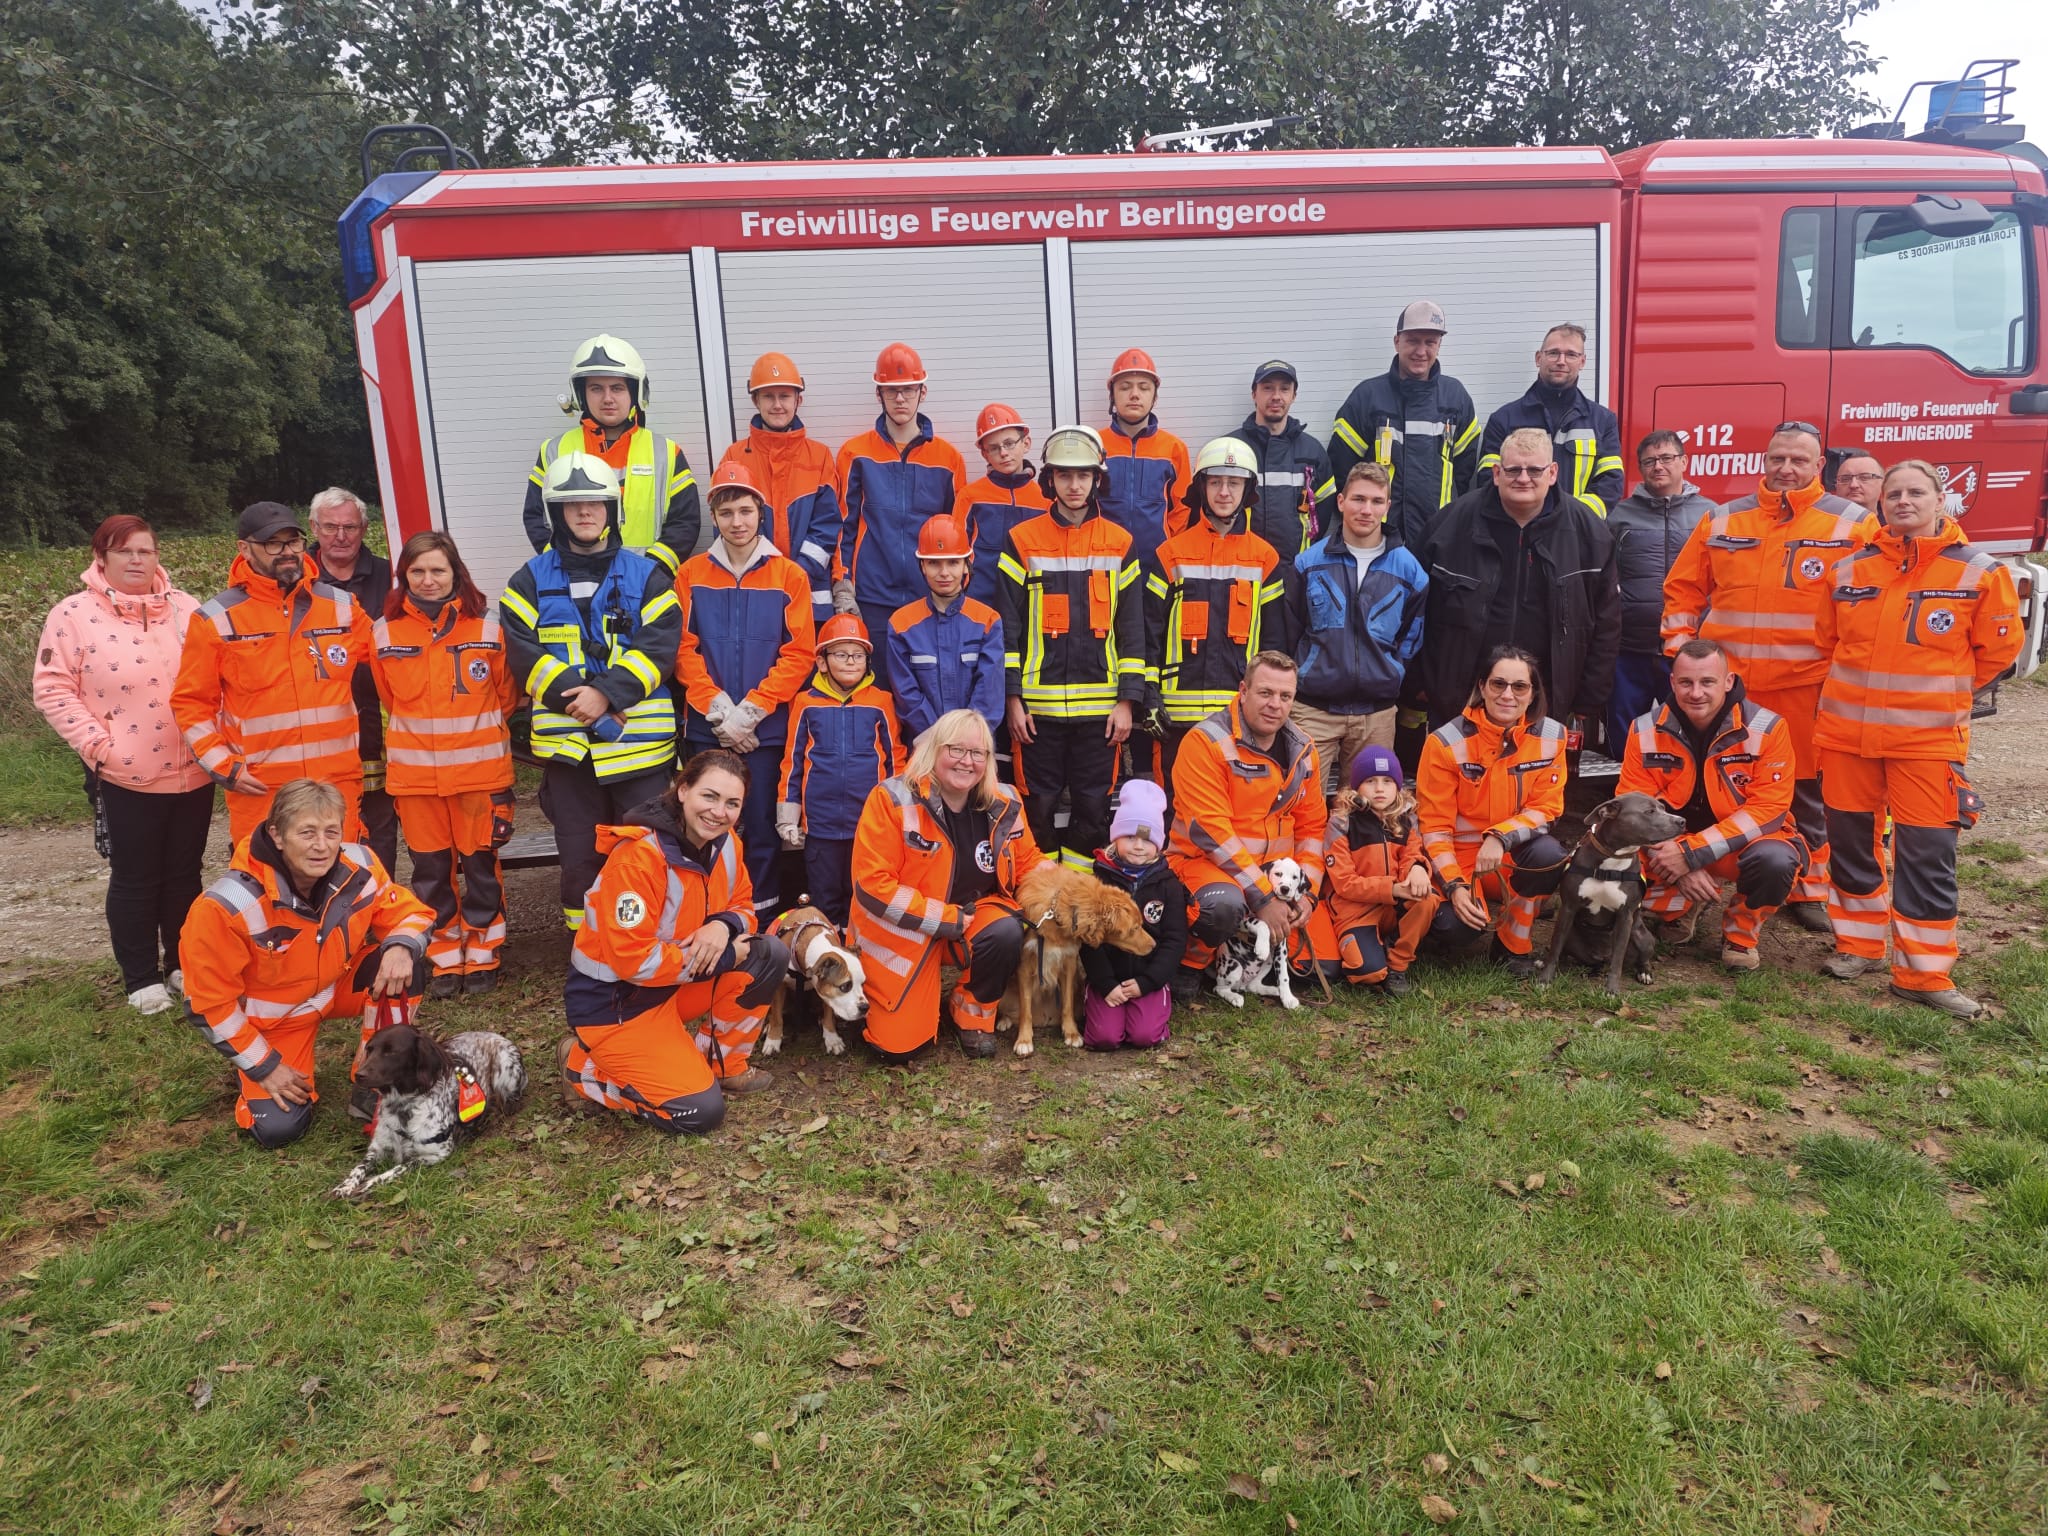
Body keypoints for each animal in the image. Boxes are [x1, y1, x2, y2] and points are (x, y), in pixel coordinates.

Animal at [995, 868, 1155, 1056]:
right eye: (1135, 928)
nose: (1154, 945)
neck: (1056, 913)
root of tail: (1044, 1018)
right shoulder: (1025, 967)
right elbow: (1025, 1010)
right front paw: (1024, 1040)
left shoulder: (1069, 965)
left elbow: (1067, 1005)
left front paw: (1072, 1033)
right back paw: (1004, 1020)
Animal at [1540, 794, 1687, 999]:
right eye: (1649, 811)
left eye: (1663, 808)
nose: (1682, 821)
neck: (1612, 859)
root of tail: (1601, 956)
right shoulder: (1568, 907)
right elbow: (1555, 947)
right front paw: (1545, 978)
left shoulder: (1625, 916)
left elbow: (1617, 960)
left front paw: (1611, 990)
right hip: (1572, 935)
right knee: (1565, 950)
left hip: (1643, 937)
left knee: (1641, 958)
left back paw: (1645, 973)